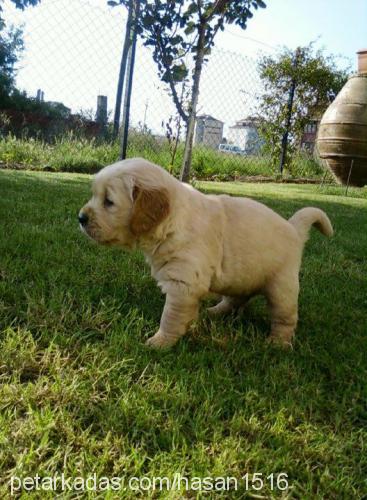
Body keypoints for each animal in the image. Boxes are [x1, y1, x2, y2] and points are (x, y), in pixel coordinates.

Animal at [79, 159, 334, 348]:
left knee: (285, 317)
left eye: (108, 201)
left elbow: (170, 316)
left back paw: (278, 343)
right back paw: (215, 312)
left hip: (282, 286)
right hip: (242, 278)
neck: (172, 221)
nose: (80, 218)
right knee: (236, 299)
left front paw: (159, 342)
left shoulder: (183, 283)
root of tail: (293, 229)